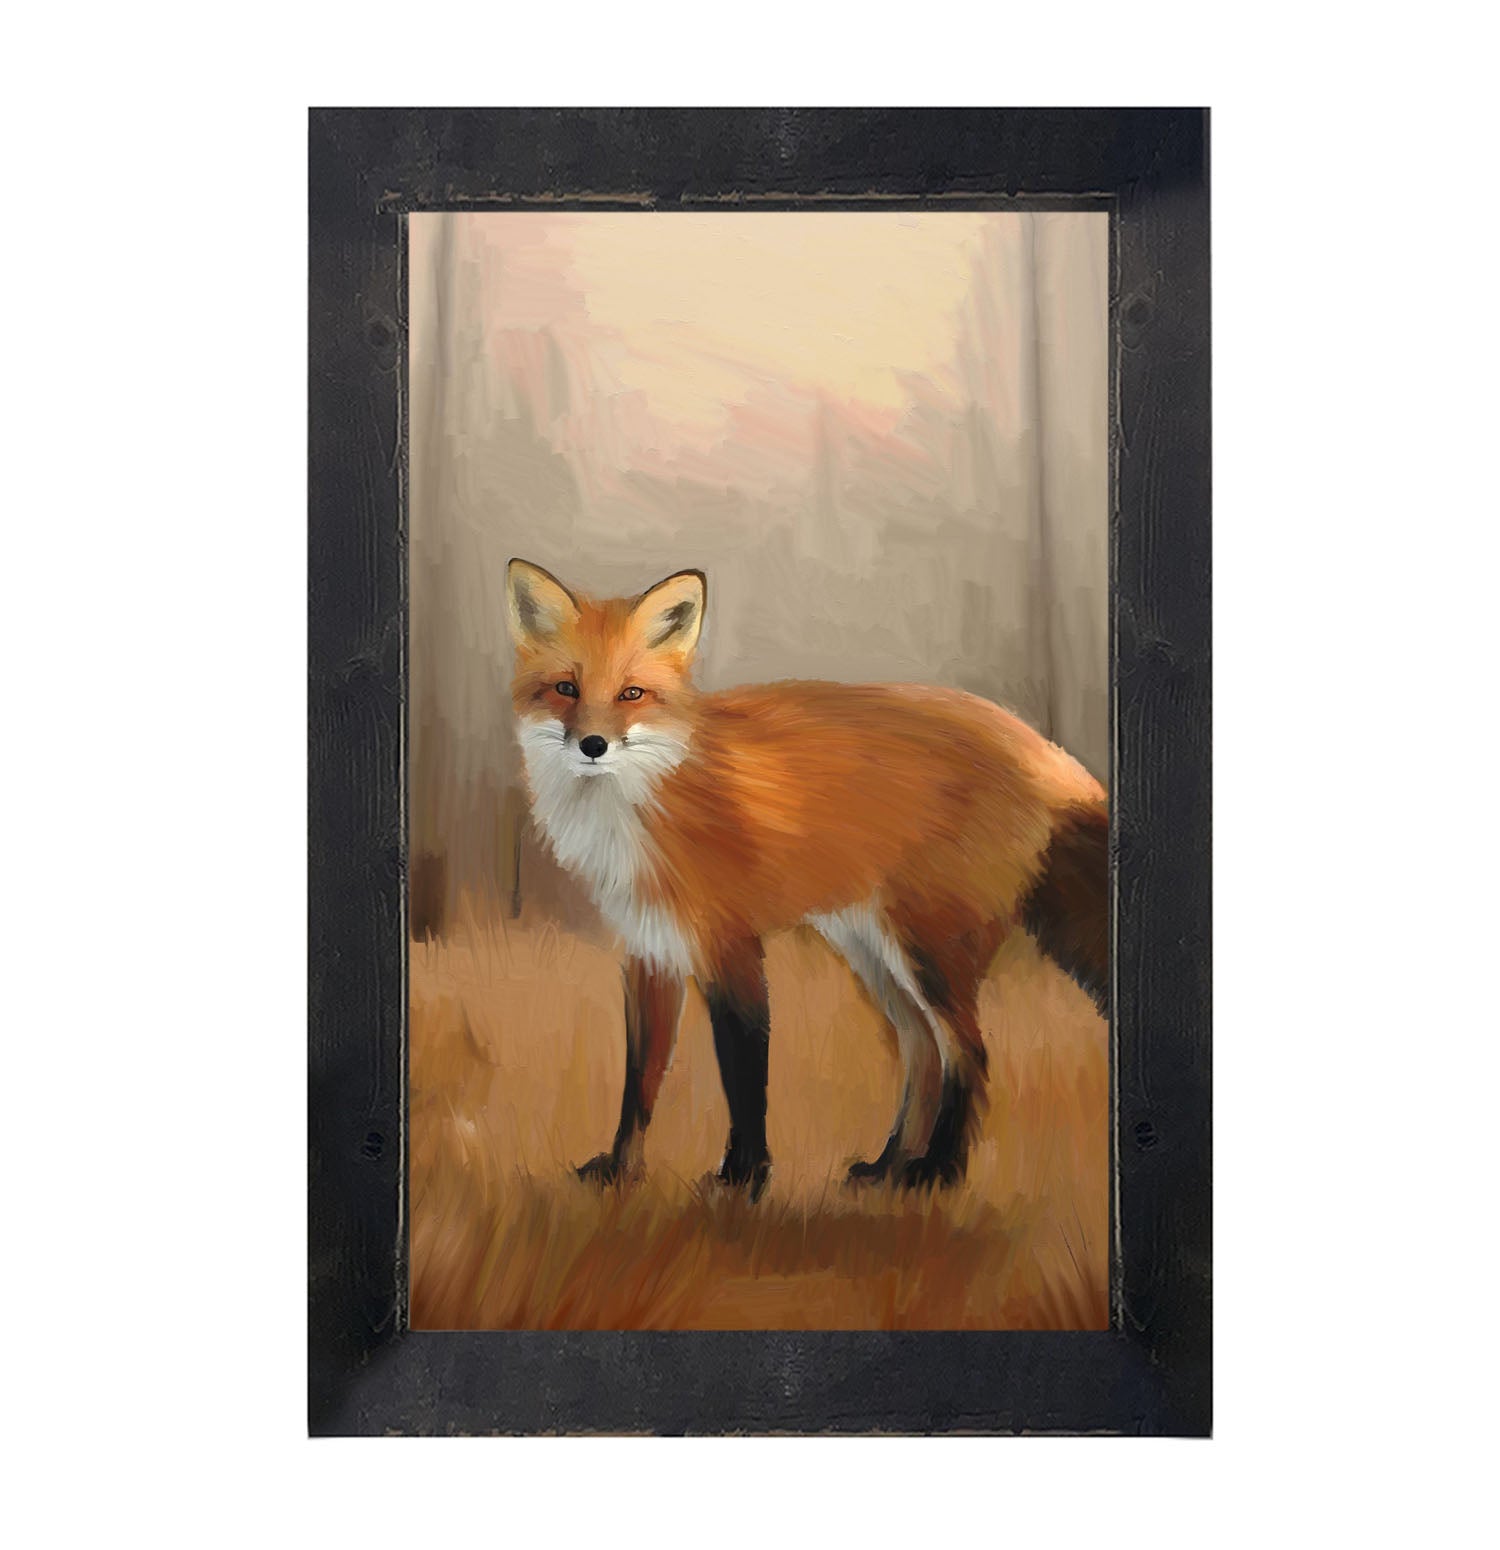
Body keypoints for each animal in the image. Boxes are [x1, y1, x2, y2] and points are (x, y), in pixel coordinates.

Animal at [506, 558, 1109, 1199]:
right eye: (566, 689)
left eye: (631, 693)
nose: (593, 745)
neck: (647, 800)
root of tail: (1045, 750)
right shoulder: (651, 952)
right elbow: (639, 1081)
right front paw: (622, 1171)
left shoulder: (732, 948)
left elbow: (744, 1075)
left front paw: (744, 1178)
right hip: (875, 952)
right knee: (922, 1051)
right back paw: (888, 1167)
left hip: (929, 951)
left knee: (969, 1053)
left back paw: (938, 1172)